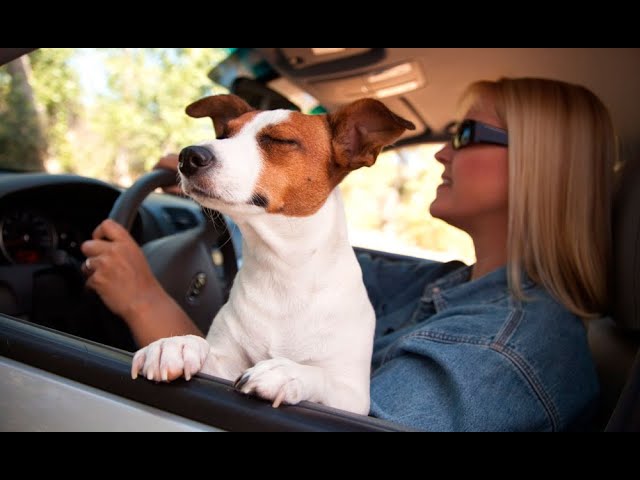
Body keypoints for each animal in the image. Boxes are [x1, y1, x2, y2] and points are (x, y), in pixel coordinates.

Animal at [130, 94, 416, 416]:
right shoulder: (223, 367)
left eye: (279, 140)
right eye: (224, 134)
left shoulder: (353, 399)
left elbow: (320, 375)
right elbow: (203, 350)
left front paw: (286, 372)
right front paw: (175, 345)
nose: (188, 156)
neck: (283, 270)